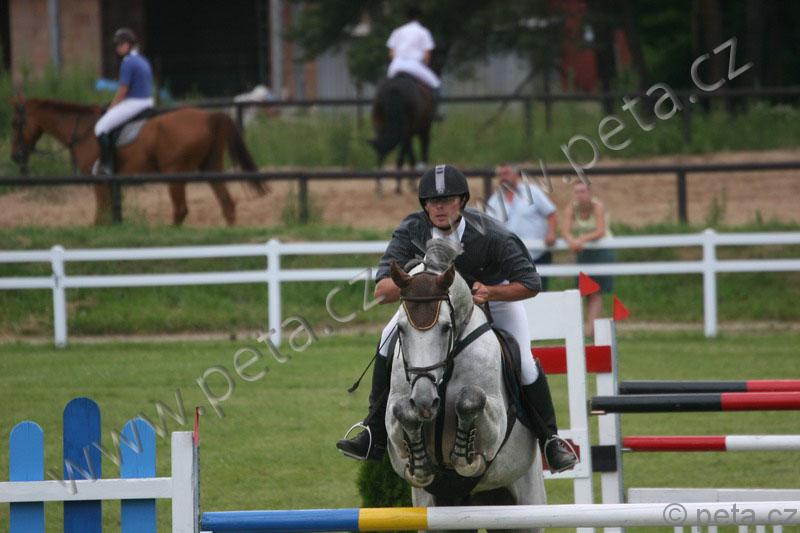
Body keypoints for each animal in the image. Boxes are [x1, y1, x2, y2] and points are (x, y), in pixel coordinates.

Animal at [9, 96, 267, 225]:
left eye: (16, 123)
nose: (15, 156)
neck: (82, 130)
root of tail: (208, 116)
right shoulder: (110, 183)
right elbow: (108, 212)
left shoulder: (99, 181)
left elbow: (101, 214)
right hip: (210, 167)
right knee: (227, 203)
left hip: (175, 173)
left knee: (181, 210)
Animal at [385, 239, 545, 533]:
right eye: (401, 329)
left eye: (446, 328)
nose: (425, 401)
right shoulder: (394, 429)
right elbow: (403, 411)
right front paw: (420, 462)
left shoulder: (496, 421)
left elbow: (470, 398)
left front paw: (463, 454)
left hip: (527, 503)